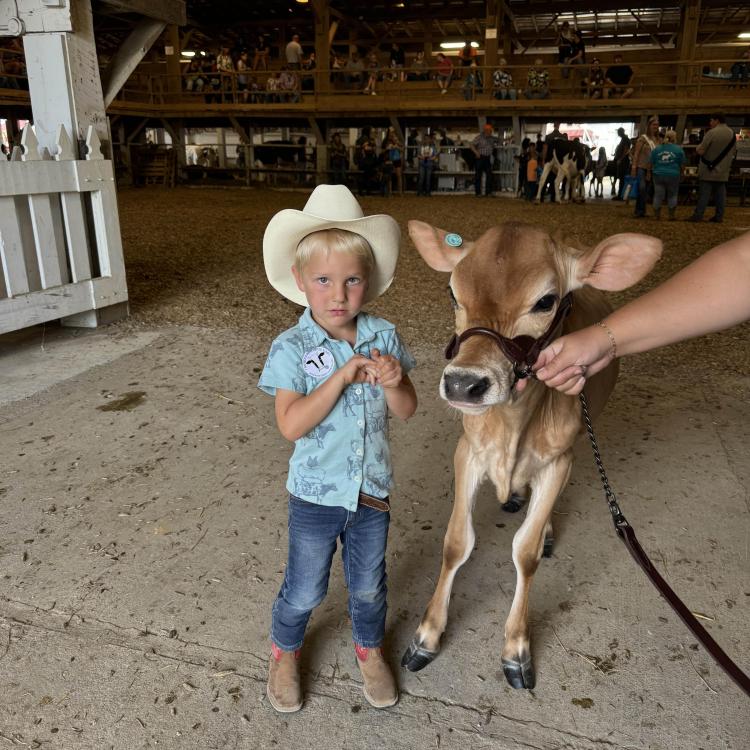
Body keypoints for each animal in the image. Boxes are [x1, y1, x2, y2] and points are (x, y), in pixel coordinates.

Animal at [401, 221, 661, 689]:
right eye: (453, 292)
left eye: (545, 301)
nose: (464, 384)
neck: (511, 426)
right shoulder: (468, 453)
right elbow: (455, 542)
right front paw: (427, 634)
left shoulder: (558, 461)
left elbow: (525, 552)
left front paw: (516, 648)